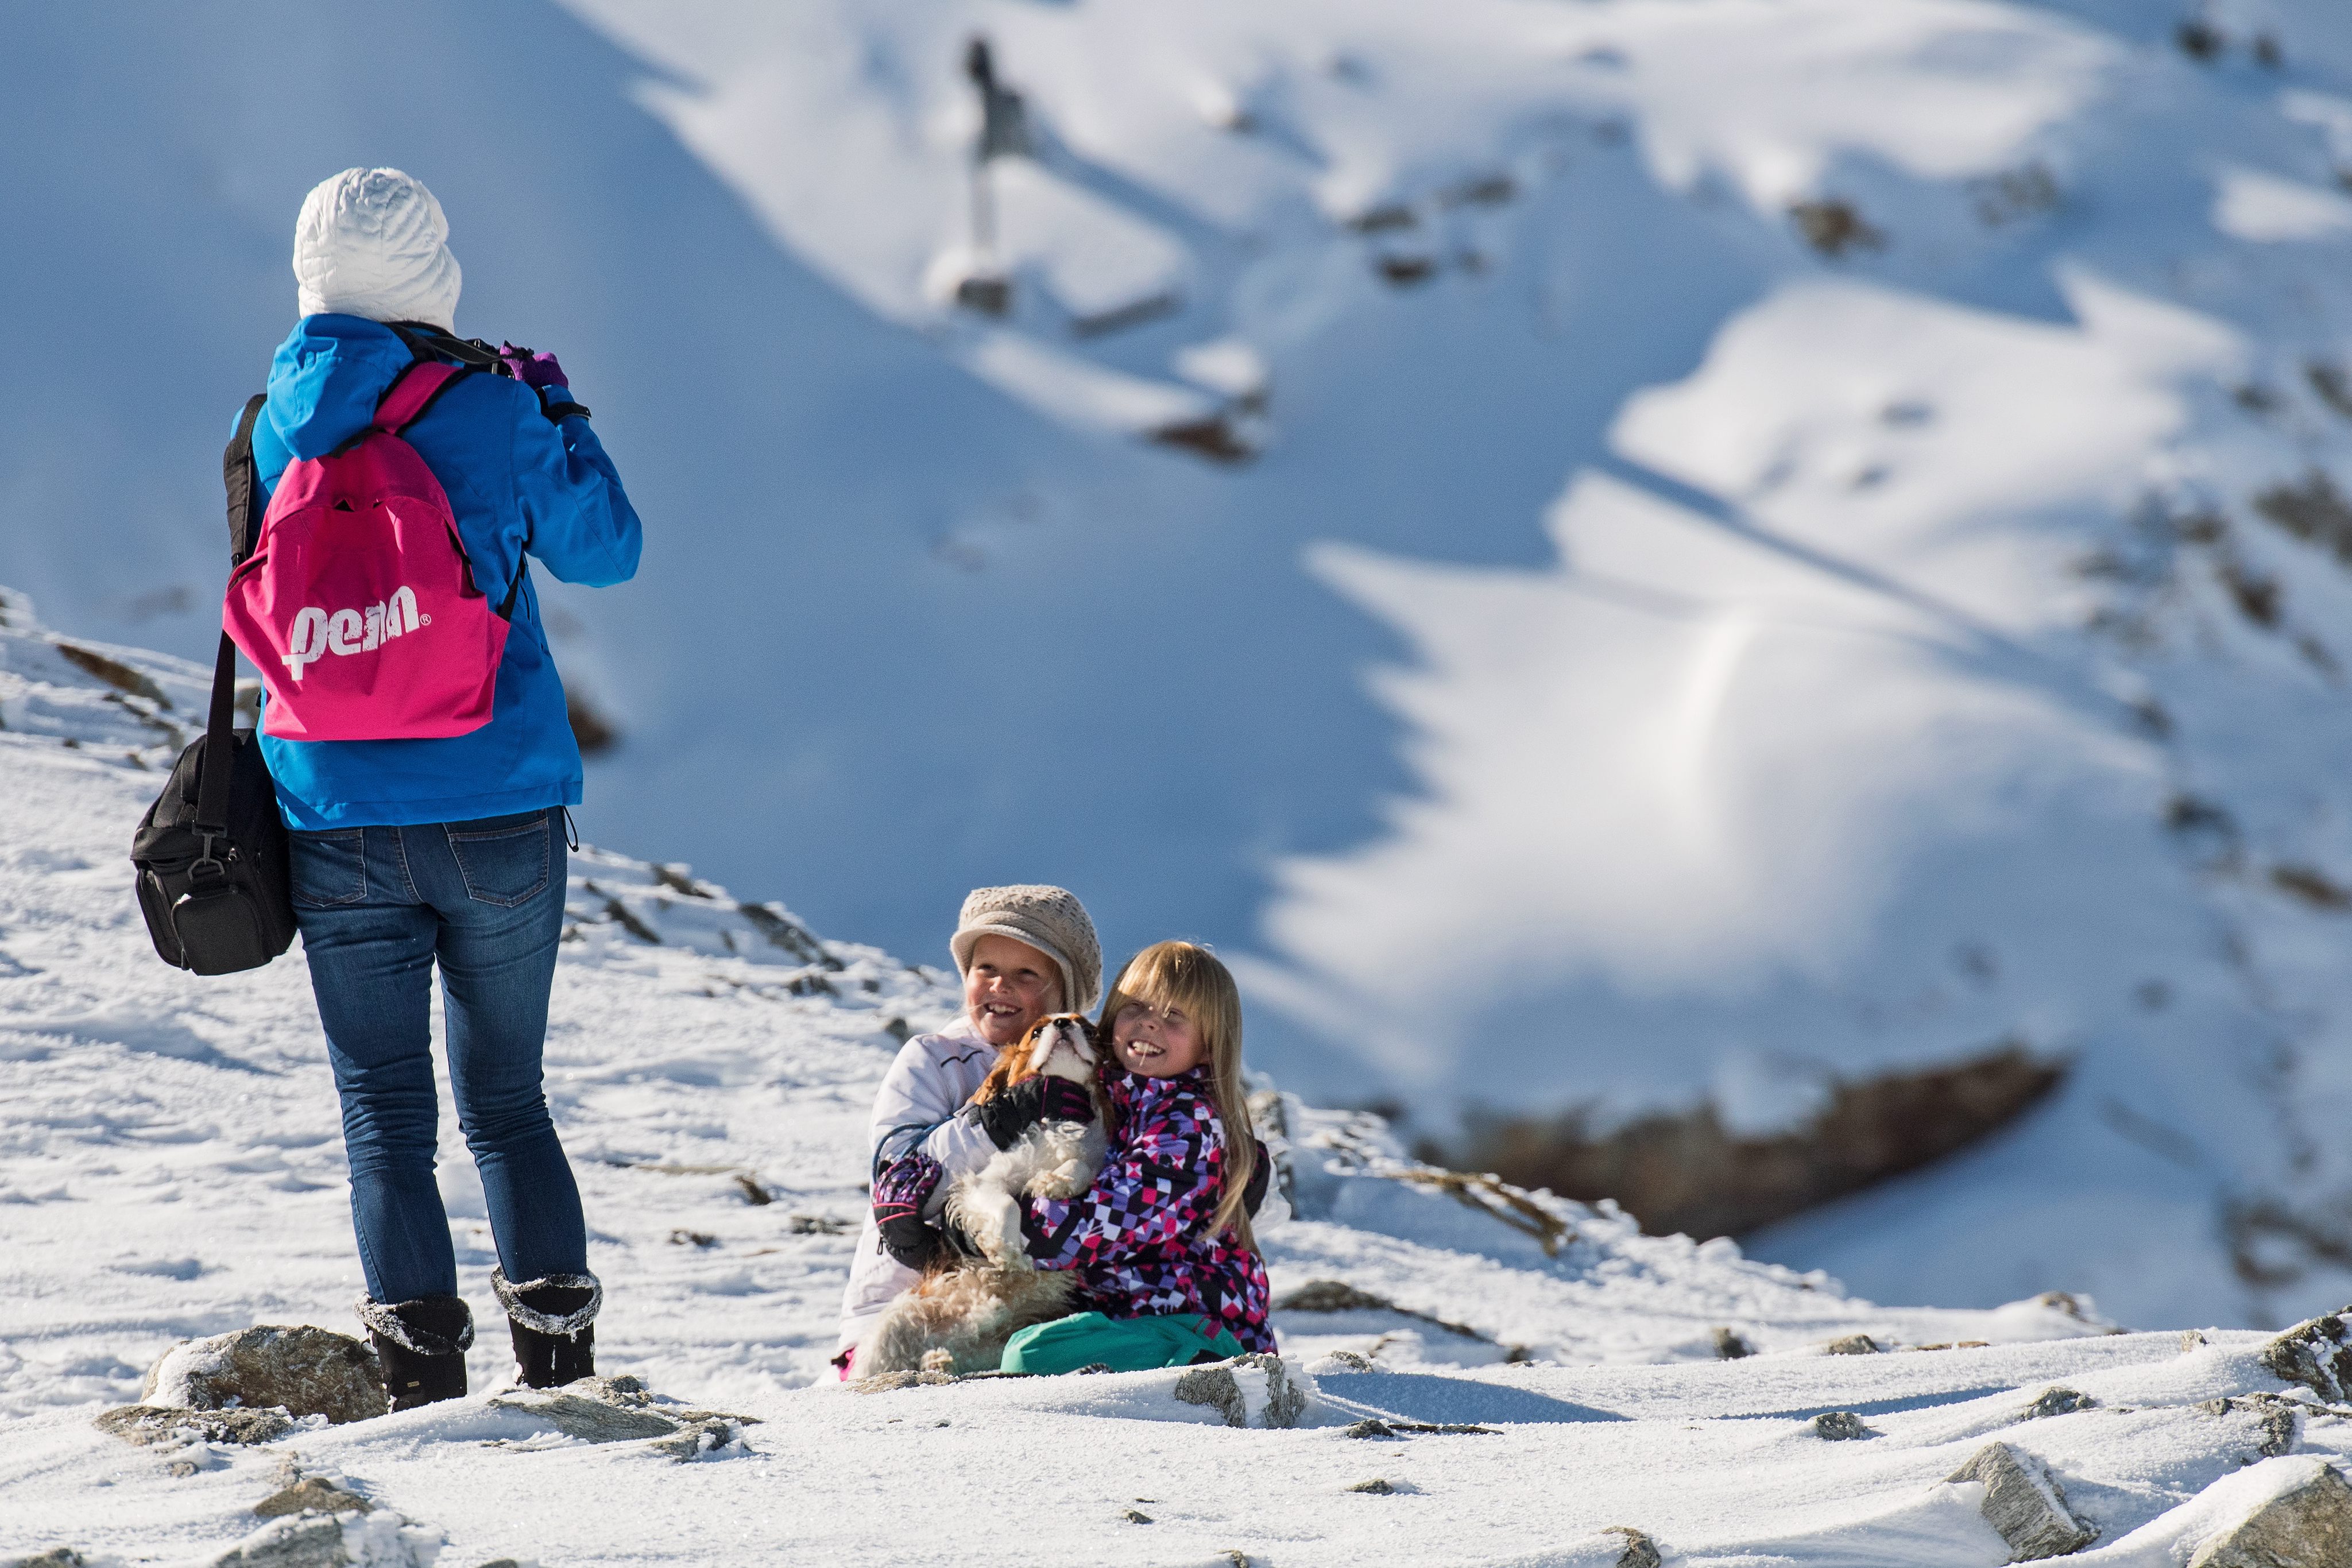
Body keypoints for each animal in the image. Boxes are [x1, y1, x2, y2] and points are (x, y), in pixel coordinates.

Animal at [856, 1020, 1110, 1373]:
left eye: (1089, 1031)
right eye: (1036, 1032)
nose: (1062, 1022)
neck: (1055, 1121)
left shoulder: (1090, 1156)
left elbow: (1078, 1166)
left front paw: (1056, 1182)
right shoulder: (984, 1182)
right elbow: (1006, 1205)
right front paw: (1003, 1249)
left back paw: (940, 1361)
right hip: (894, 1321)